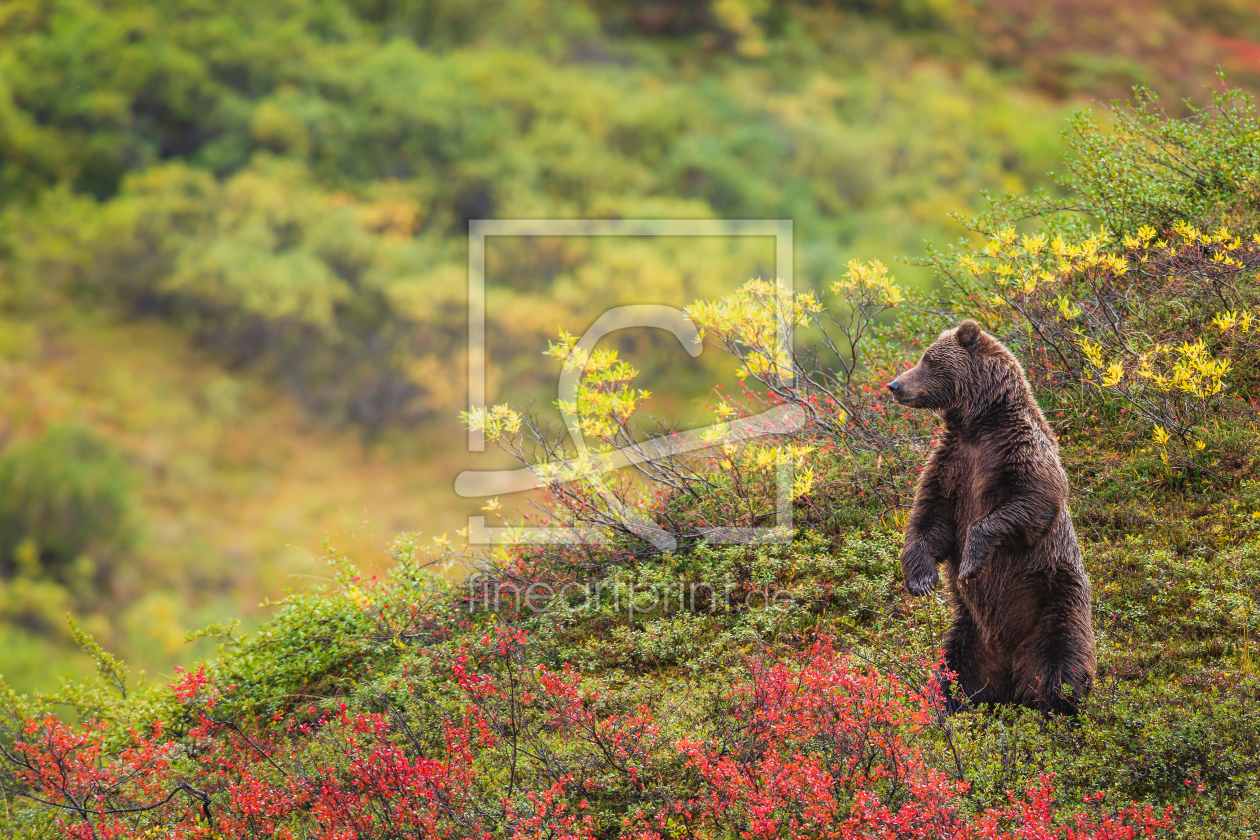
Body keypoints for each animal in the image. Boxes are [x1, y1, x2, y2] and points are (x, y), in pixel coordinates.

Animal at [887, 318, 1093, 715]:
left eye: (929, 361)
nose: (895, 385)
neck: (979, 424)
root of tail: (1009, 671)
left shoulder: (1017, 451)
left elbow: (1033, 500)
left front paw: (970, 561)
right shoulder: (952, 464)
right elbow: (931, 519)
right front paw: (921, 579)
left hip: (1055, 605)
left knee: (1061, 667)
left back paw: (1058, 708)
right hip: (969, 635)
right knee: (952, 673)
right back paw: (948, 709)